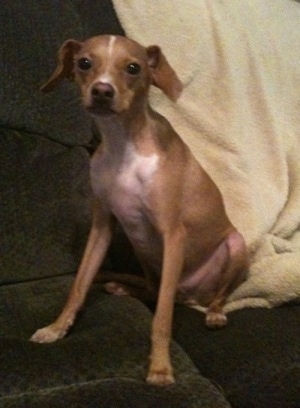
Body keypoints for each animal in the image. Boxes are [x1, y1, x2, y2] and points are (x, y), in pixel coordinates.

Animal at [29, 35, 247, 386]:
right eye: (84, 63)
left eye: (133, 68)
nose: (102, 91)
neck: (123, 146)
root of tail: (189, 295)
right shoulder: (102, 226)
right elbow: (79, 285)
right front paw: (56, 328)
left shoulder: (173, 235)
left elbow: (161, 318)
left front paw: (160, 367)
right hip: (141, 249)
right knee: (151, 289)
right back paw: (122, 286)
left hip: (234, 246)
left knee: (210, 295)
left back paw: (214, 313)